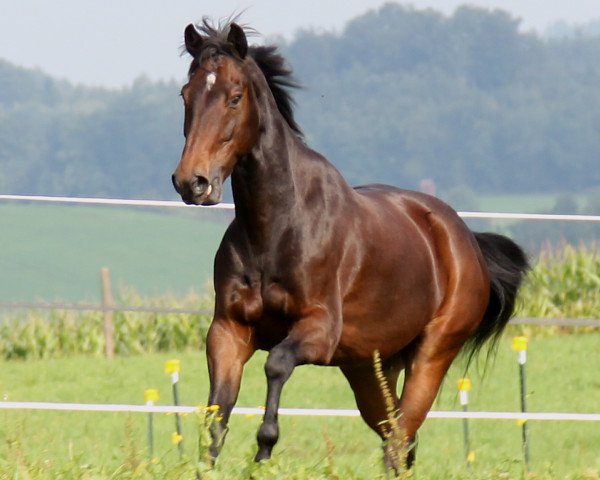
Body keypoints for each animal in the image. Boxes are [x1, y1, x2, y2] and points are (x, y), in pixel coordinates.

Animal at [171, 19, 528, 472]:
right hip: (369, 369)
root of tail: (465, 241)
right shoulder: (228, 331)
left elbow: (276, 364)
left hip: (432, 354)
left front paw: (265, 448)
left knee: (401, 437)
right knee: (399, 439)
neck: (276, 228)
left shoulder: (320, 330)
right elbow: (217, 412)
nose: (192, 182)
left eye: (235, 98)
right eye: (186, 95)